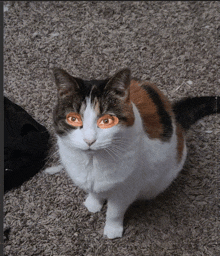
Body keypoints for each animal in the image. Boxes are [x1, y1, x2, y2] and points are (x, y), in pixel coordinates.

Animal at [45, 67, 220, 238]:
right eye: (73, 119)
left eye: (107, 120)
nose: (89, 140)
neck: (92, 163)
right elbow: (93, 192)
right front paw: (93, 203)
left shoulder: (126, 190)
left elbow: (114, 212)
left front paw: (112, 230)